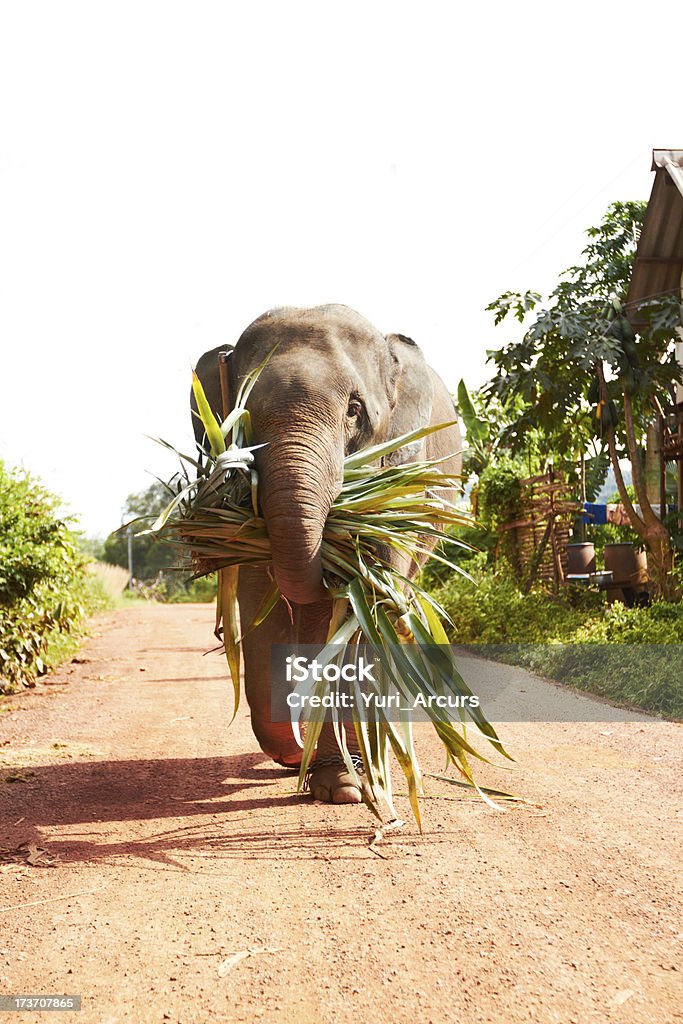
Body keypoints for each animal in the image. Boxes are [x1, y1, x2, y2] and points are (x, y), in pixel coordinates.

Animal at [191, 307, 458, 802]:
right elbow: (261, 605)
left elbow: (365, 610)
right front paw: (322, 770)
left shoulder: (403, 475)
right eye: (244, 416)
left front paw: (348, 786)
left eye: (354, 410)